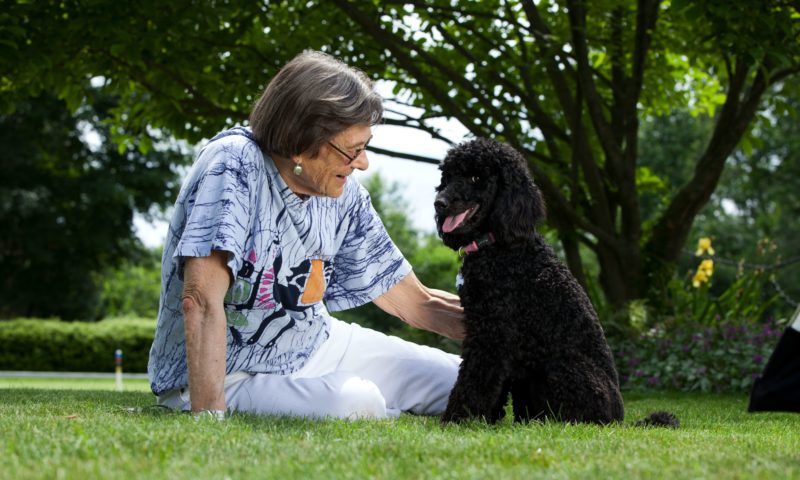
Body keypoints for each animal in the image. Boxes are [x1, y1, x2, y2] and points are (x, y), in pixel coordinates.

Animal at [438, 137, 676, 426]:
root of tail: (620, 419)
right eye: (448, 177)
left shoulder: (493, 334)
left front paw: (457, 419)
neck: (498, 246)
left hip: (559, 368)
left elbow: (474, 380)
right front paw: (483, 420)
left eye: (475, 177)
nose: (439, 203)